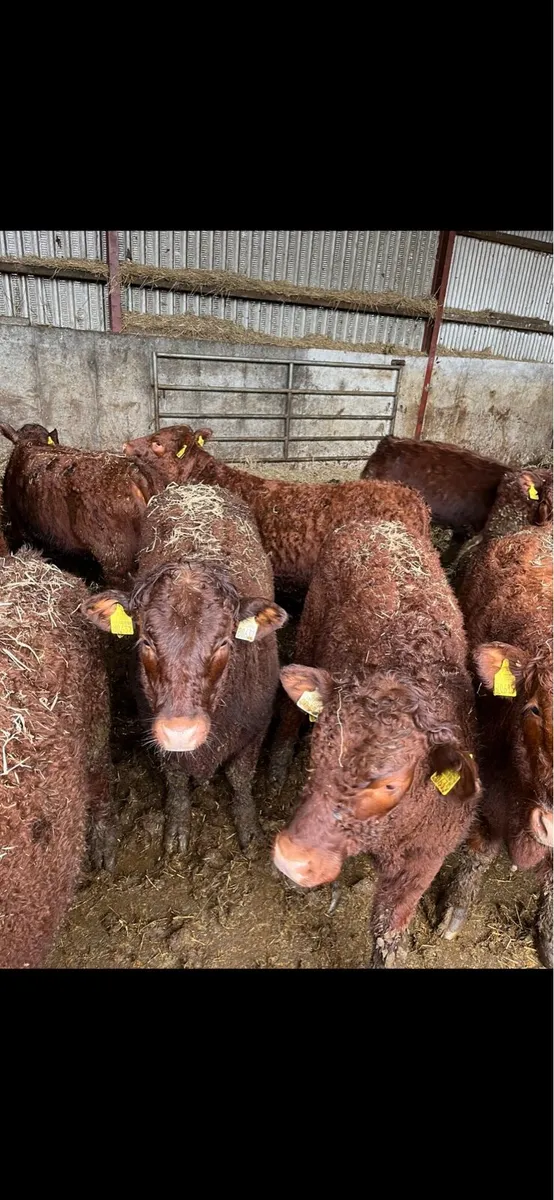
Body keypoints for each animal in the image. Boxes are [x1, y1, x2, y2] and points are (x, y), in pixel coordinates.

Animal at [81, 483, 287, 856]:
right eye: (146, 641)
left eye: (224, 643)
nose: (181, 731)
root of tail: (195, 487)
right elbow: (175, 777)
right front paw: (177, 829)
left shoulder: (257, 725)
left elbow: (240, 779)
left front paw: (249, 829)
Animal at [267, 517, 481, 967]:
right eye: (316, 753)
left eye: (389, 785)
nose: (292, 858)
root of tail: (377, 523)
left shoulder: (426, 856)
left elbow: (388, 926)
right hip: (310, 624)